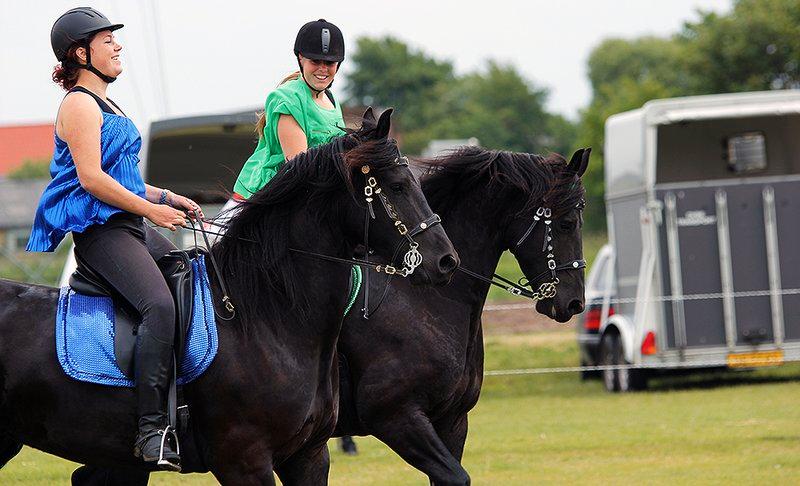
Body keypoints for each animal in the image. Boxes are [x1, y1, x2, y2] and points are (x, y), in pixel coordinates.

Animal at [334, 146, 592, 484]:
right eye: (566, 223)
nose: (575, 302)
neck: (428, 298)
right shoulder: (396, 418)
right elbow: (456, 476)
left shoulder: (452, 420)